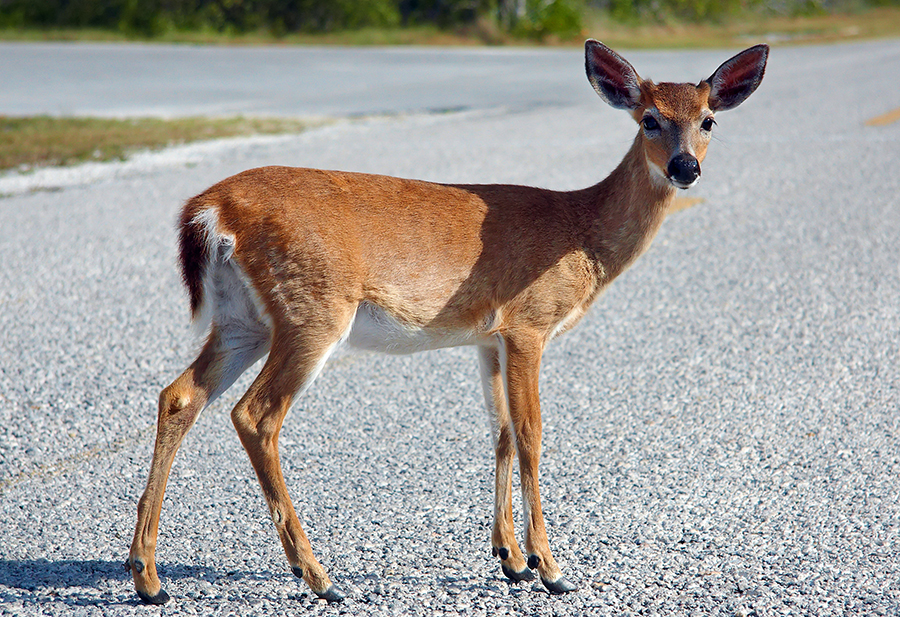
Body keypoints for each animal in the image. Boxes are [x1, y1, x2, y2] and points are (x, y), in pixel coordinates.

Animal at [130, 41, 768, 604]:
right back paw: (317, 575)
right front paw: (551, 567)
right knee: (255, 414)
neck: (581, 234)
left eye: (709, 120)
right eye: (650, 119)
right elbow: (533, 436)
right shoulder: (529, 324)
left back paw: (148, 576)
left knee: (179, 396)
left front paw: (511, 558)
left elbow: (501, 432)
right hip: (313, 309)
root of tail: (210, 209)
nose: (685, 168)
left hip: (244, 319)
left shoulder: (487, 337)